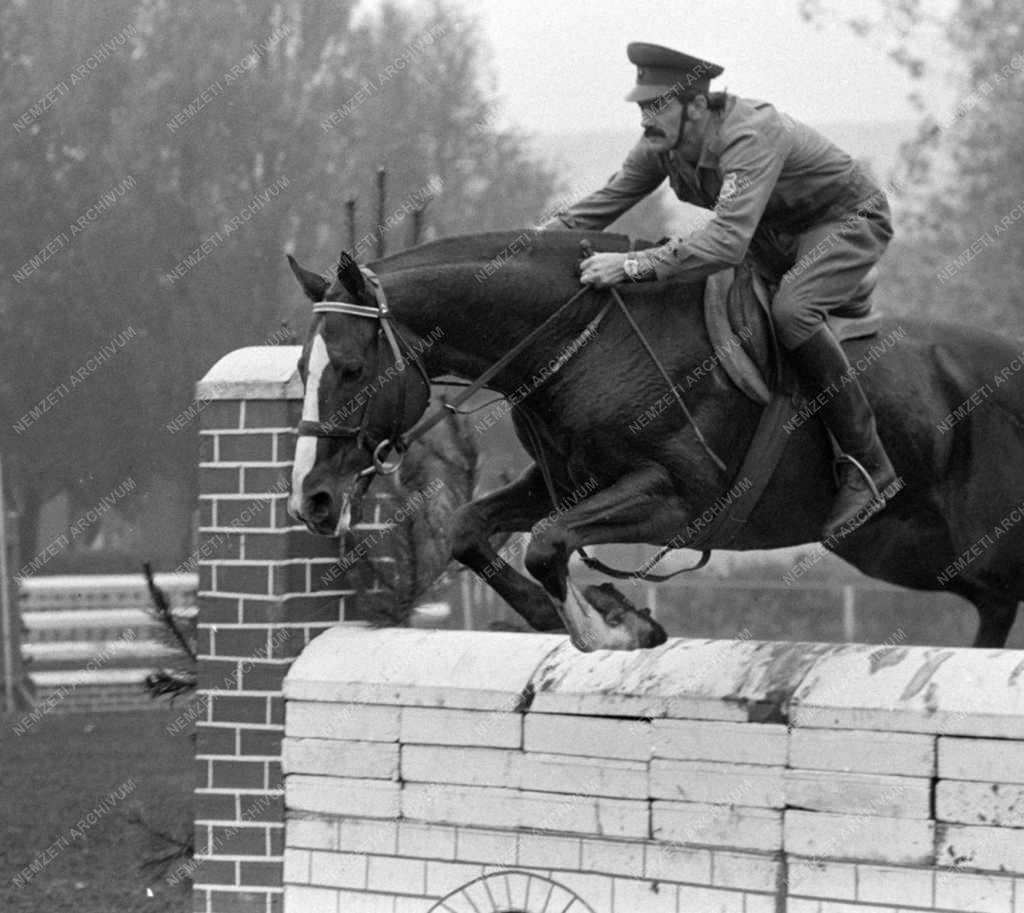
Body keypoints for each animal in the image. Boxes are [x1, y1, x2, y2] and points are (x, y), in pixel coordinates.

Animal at [284, 231, 1024, 650]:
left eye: (350, 368)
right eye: (299, 369)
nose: (310, 501)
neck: (576, 342)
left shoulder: (679, 499)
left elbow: (548, 542)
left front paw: (613, 628)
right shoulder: (563, 481)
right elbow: (472, 529)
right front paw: (578, 616)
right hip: (919, 553)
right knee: (994, 605)